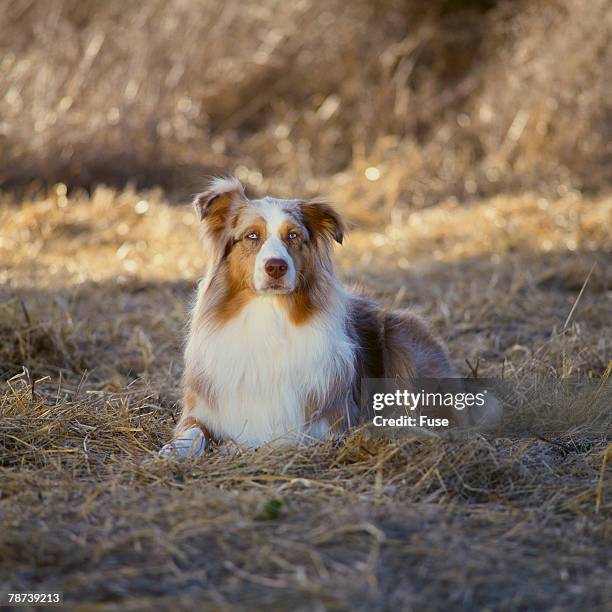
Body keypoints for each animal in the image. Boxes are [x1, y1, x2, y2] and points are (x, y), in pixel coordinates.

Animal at [159, 176, 502, 454]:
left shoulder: (331, 420)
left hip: (402, 333)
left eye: (293, 236)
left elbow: (285, 436)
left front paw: (236, 447)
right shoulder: (202, 410)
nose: (275, 267)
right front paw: (173, 451)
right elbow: (191, 433)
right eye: (252, 236)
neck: (269, 317)